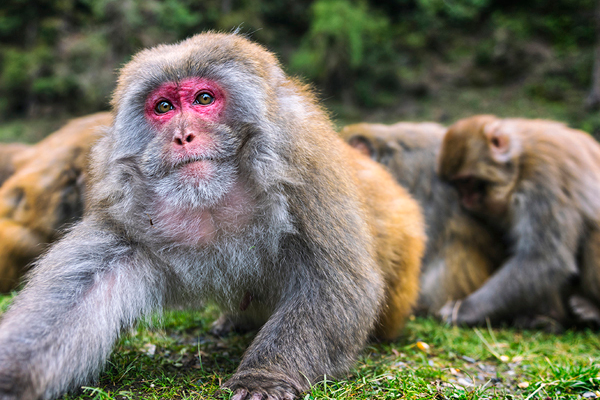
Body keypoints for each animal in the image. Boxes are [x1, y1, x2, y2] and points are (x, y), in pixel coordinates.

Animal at [436, 114, 600, 326]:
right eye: (456, 183)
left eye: (466, 181)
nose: (465, 199)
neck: (519, 163)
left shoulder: (545, 179)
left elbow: (545, 258)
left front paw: (464, 309)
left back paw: (590, 310)